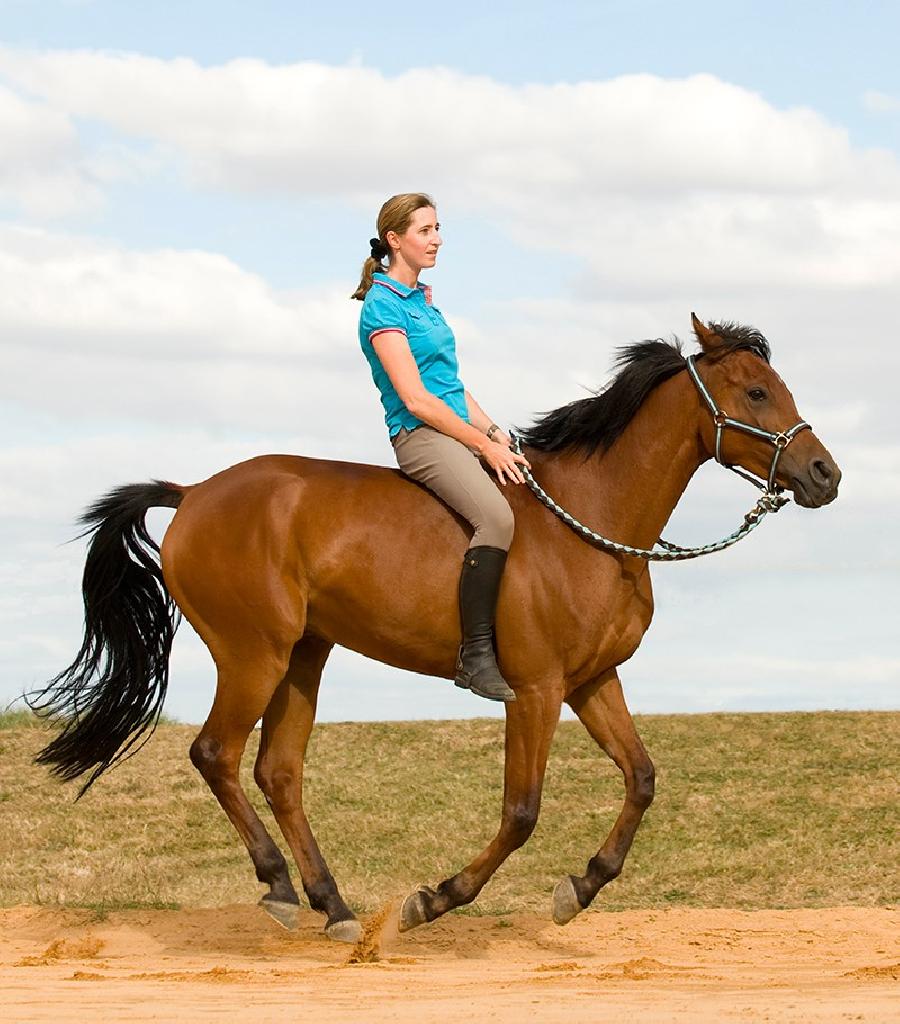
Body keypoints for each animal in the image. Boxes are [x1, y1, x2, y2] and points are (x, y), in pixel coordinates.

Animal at [29, 313, 843, 942]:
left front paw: (581, 888)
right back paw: (280, 888)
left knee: (278, 772)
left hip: (304, 656)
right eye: (756, 391)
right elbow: (521, 812)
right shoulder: (535, 691)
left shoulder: (591, 681)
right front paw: (435, 899)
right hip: (252, 654)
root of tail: (195, 492)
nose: (825, 475)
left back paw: (333, 906)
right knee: (216, 755)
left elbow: (641, 779)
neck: (592, 520)